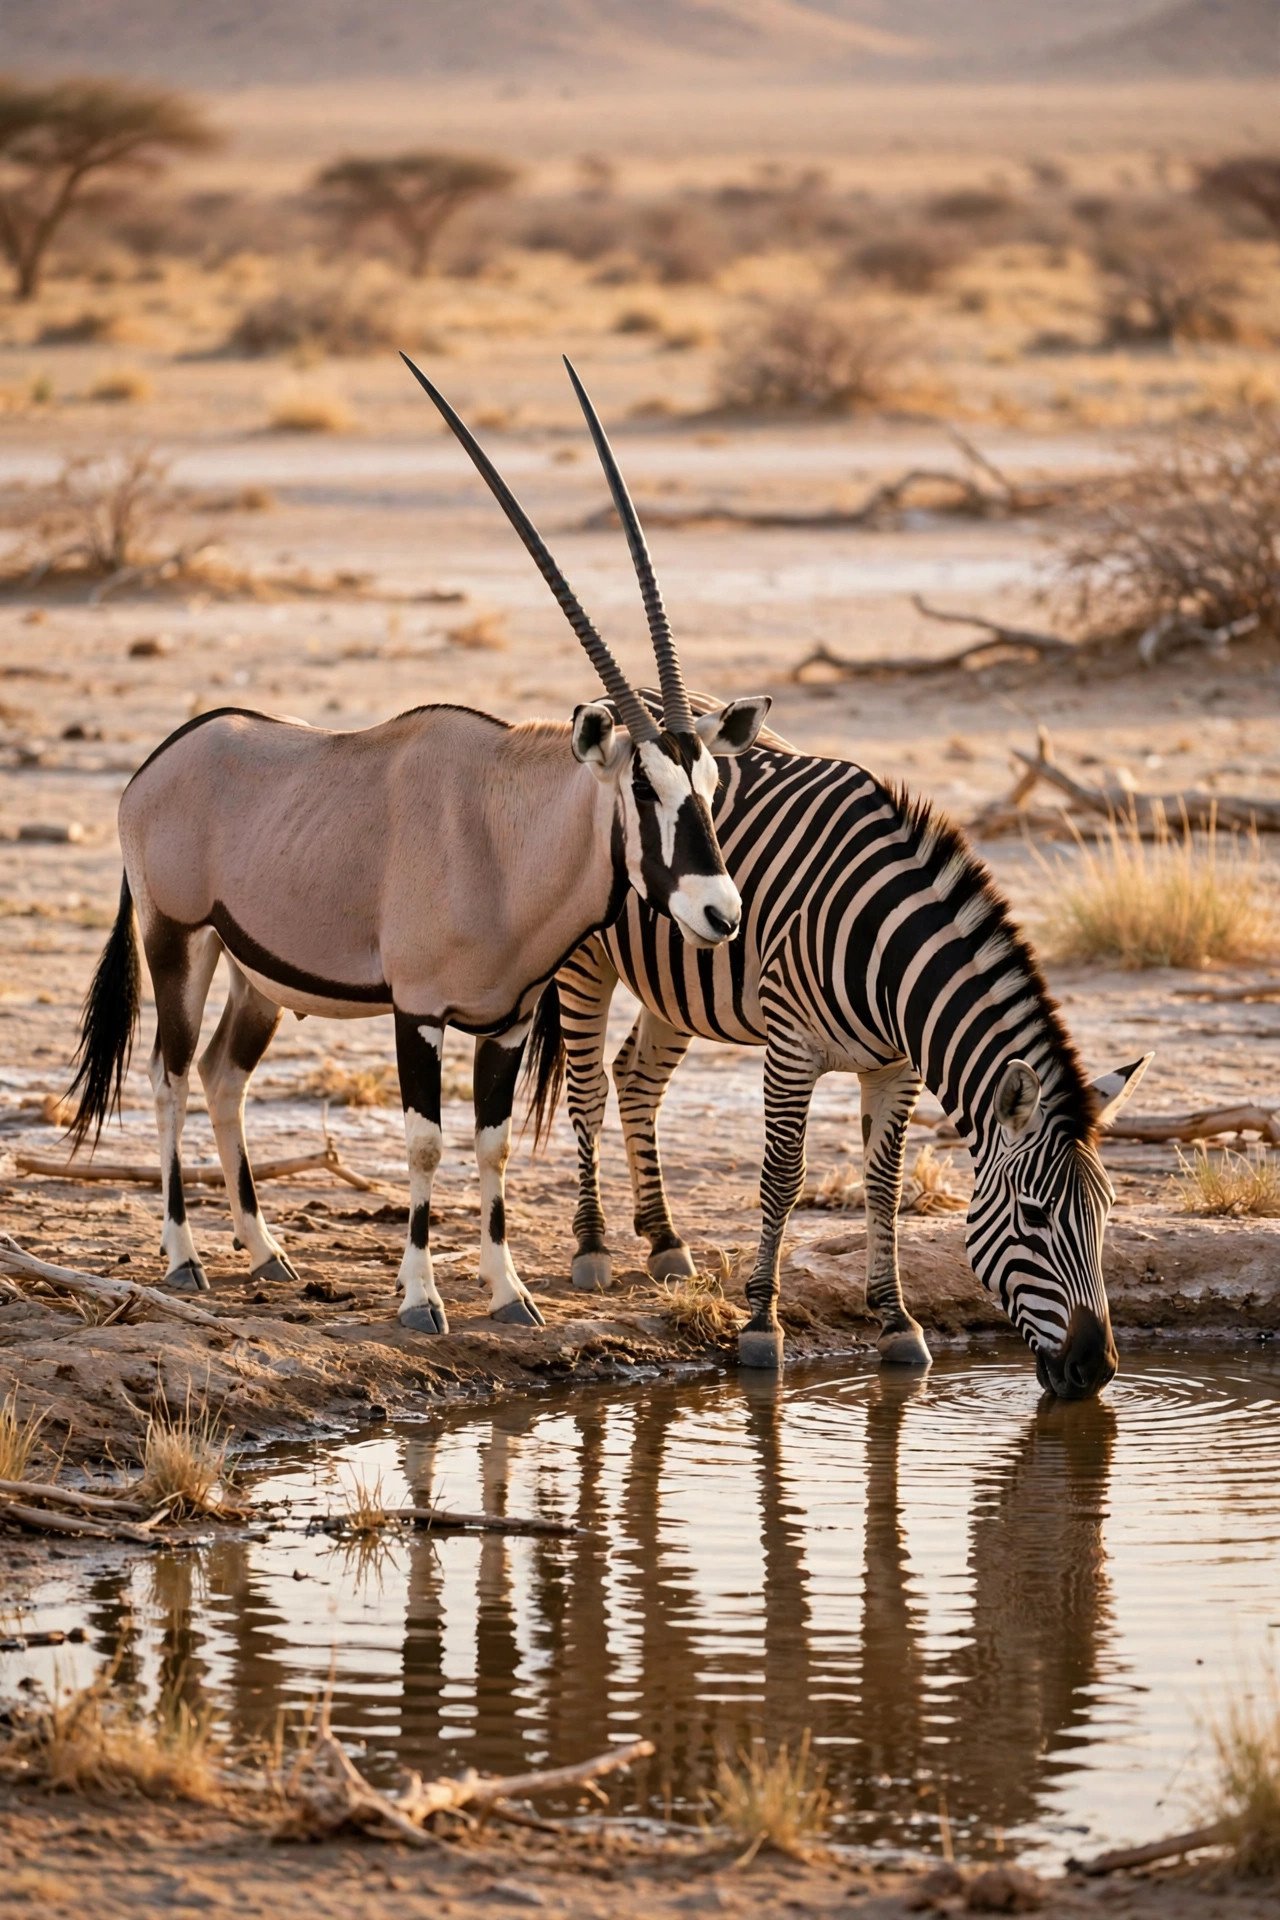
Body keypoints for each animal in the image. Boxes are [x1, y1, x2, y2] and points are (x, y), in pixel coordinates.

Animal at [66, 372, 769, 1333]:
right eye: (642, 788)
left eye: (707, 782)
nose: (718, 912)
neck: (504, 838)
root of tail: (156, 764)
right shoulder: (419, 1011)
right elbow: (428, 1144)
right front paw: (420, 1299)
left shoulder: (509, 1017)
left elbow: (495, 1146)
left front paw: (511, 1295)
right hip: (179, 940)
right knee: (168, 1077)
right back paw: (185, 1260)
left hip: (257, 976)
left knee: (220, 1076)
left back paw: (266, 1252)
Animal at [525, 701, 1150, 1397]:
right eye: (1035, 1217)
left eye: (1107, 1211)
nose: (1096, 1369)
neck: (890, 957)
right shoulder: (791, 1050)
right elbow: (782, 1178)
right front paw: (761, 1326)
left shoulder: (896, 1068)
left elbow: (885, 1185)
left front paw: (897, 1322)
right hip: (586, 959)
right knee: (588, 1091)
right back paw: (592, 1246)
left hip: (679, 981)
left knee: (637, 1079)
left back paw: (663, 1238)